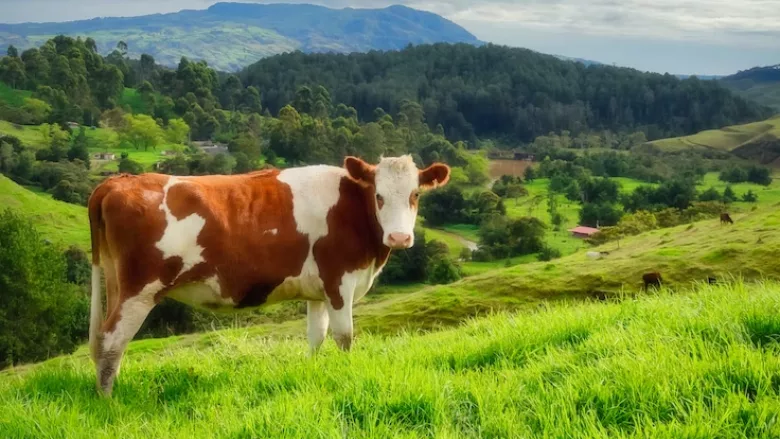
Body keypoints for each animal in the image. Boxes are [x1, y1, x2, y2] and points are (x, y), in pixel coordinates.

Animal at [87, 155, 451, 396]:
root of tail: (120, 180)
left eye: (415, 194)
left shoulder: (317, 291)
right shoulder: (339, 281)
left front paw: (313, 372)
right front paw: (348, 375)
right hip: (139, 289)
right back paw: (109, 400)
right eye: (379, 195)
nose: (399, 238)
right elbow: (344, 337)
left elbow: (316, 337)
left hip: (116, 282)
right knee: (111, 340)